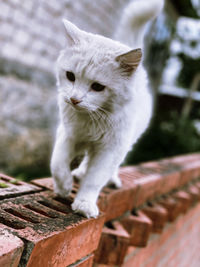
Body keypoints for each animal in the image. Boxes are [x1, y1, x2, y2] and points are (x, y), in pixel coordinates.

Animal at [50, 0, 164, 218]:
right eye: (70, 76)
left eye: (97, 87)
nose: (74, 99)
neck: (90, 119)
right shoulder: (68, 134)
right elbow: (58, 163)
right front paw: (64, 187)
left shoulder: (111, 148)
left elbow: (95, 179)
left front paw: (84, 203)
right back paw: (78, 174)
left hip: (123, 144)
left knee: (106, 167)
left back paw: (109, 179)